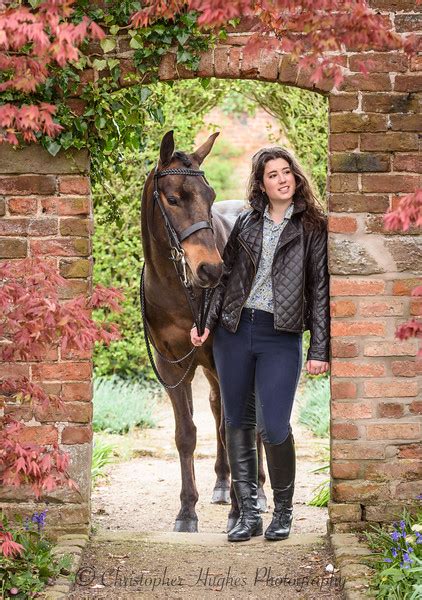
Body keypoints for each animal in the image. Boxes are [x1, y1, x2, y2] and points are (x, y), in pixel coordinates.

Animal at [142, 130, 268, 528]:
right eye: (172, 198)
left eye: (209, 197)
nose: (211, 270)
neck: (177, 288)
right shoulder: (171, 366)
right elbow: (186, 434)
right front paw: (187, 510)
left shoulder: (225, 359)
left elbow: (234, 426)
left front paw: (240, 511)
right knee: (215, 408)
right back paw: (223, 483)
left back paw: (258, 489)